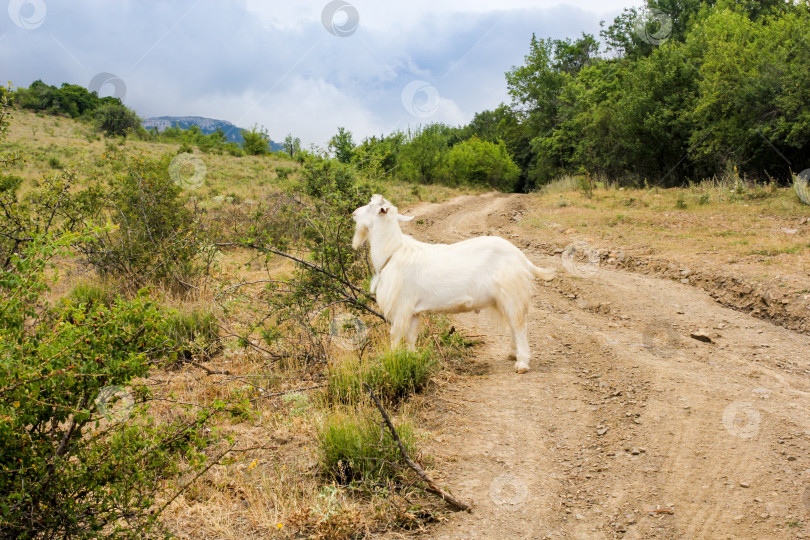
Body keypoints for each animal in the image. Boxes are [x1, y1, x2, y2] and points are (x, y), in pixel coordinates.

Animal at [350, 193, 552, 372]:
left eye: (371, 206)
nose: (354, 213)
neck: (393, 252)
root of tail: (521, 257)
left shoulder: (401, 307)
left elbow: (395, 336)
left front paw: (392, 359)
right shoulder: (413, 311)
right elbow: (411, 337)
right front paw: (411, 358)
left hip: (512, 294)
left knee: (519, 326)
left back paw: (522, 363)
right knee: (513, 324)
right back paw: (513, 354)